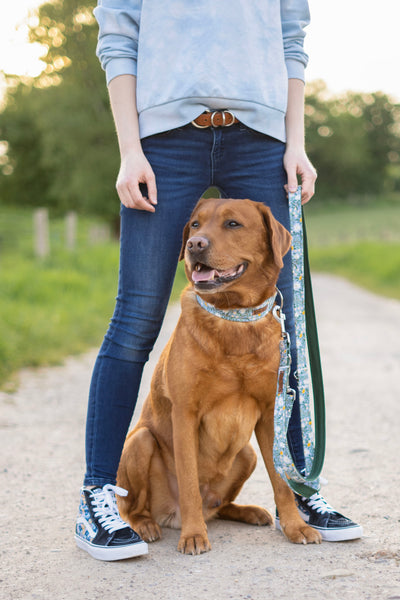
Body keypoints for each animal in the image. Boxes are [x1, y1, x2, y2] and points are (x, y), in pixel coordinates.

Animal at [116, 197, 322, 552]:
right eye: (195, 225)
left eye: (233, 224)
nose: (194, 244)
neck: (233, 315)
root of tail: (169, 516)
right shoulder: (185, 414)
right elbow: (188, 481)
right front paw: (193, 535)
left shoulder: (270, 413)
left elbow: (282, 482)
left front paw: (295, 526)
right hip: (139, 442)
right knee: (133, 506)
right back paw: (146, 526)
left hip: (247, 454)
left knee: (220, 505)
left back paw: (248, 512)